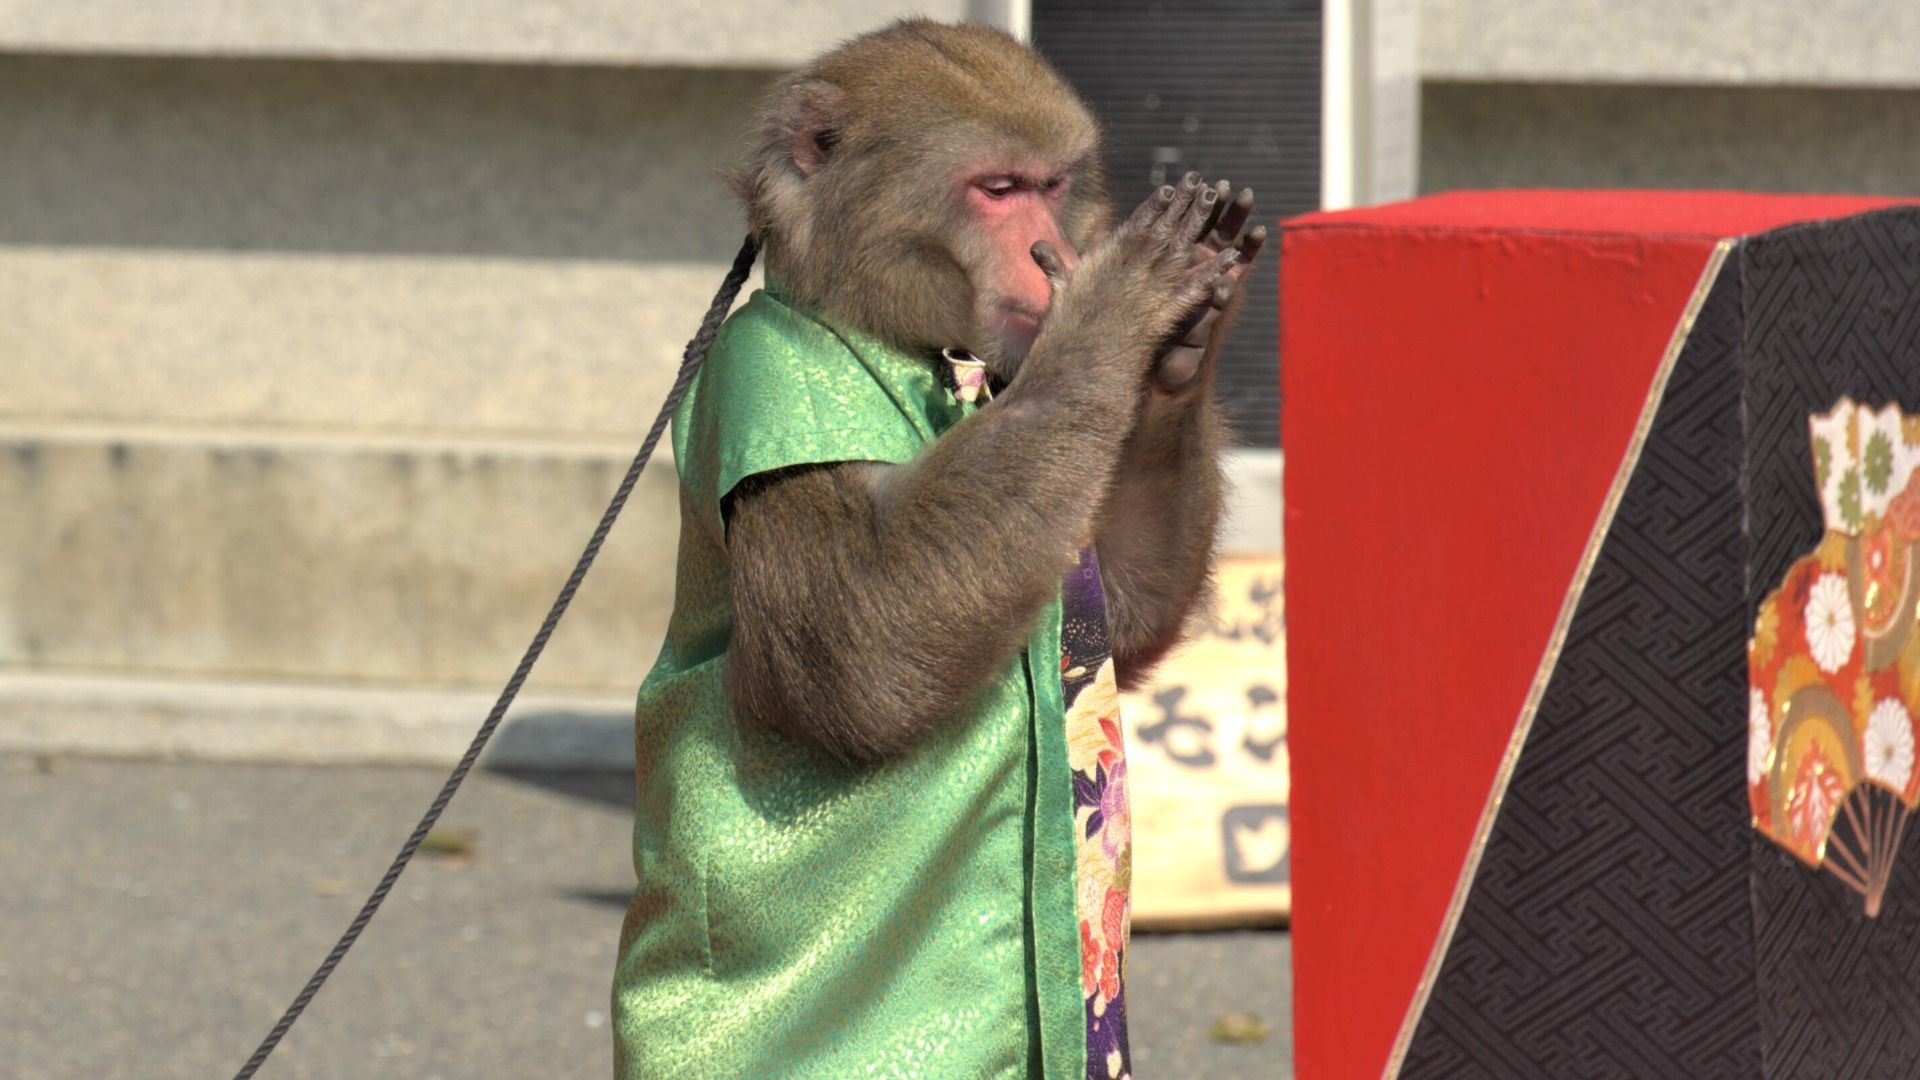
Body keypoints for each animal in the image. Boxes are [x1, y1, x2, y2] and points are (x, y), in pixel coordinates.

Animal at [614, 20, 1266, 1080]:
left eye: (1051, 183)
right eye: (997, 189)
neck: (902, 335)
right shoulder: (768, 384)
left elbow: (1111, 611)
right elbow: (861, 649)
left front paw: (1181, 349)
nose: (1056, 254)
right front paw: (1118, 307)